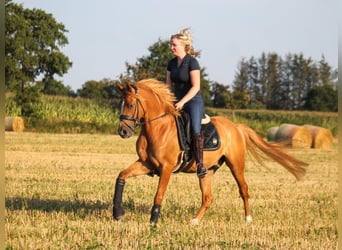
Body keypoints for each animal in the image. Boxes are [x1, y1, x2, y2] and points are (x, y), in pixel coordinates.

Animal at [112, 78, 308, 225]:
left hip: (236, 164)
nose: (122, 132)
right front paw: (117, 212)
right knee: (208, 197)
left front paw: (153, 222)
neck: (158, 127)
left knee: (243, 189)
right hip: (208, 171)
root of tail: (236, 127)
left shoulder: (166, 168)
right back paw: (194, 221)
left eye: (130, 104)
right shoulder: (146, 164)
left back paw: (248, 219)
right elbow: (121, 176)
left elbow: (159, 195)